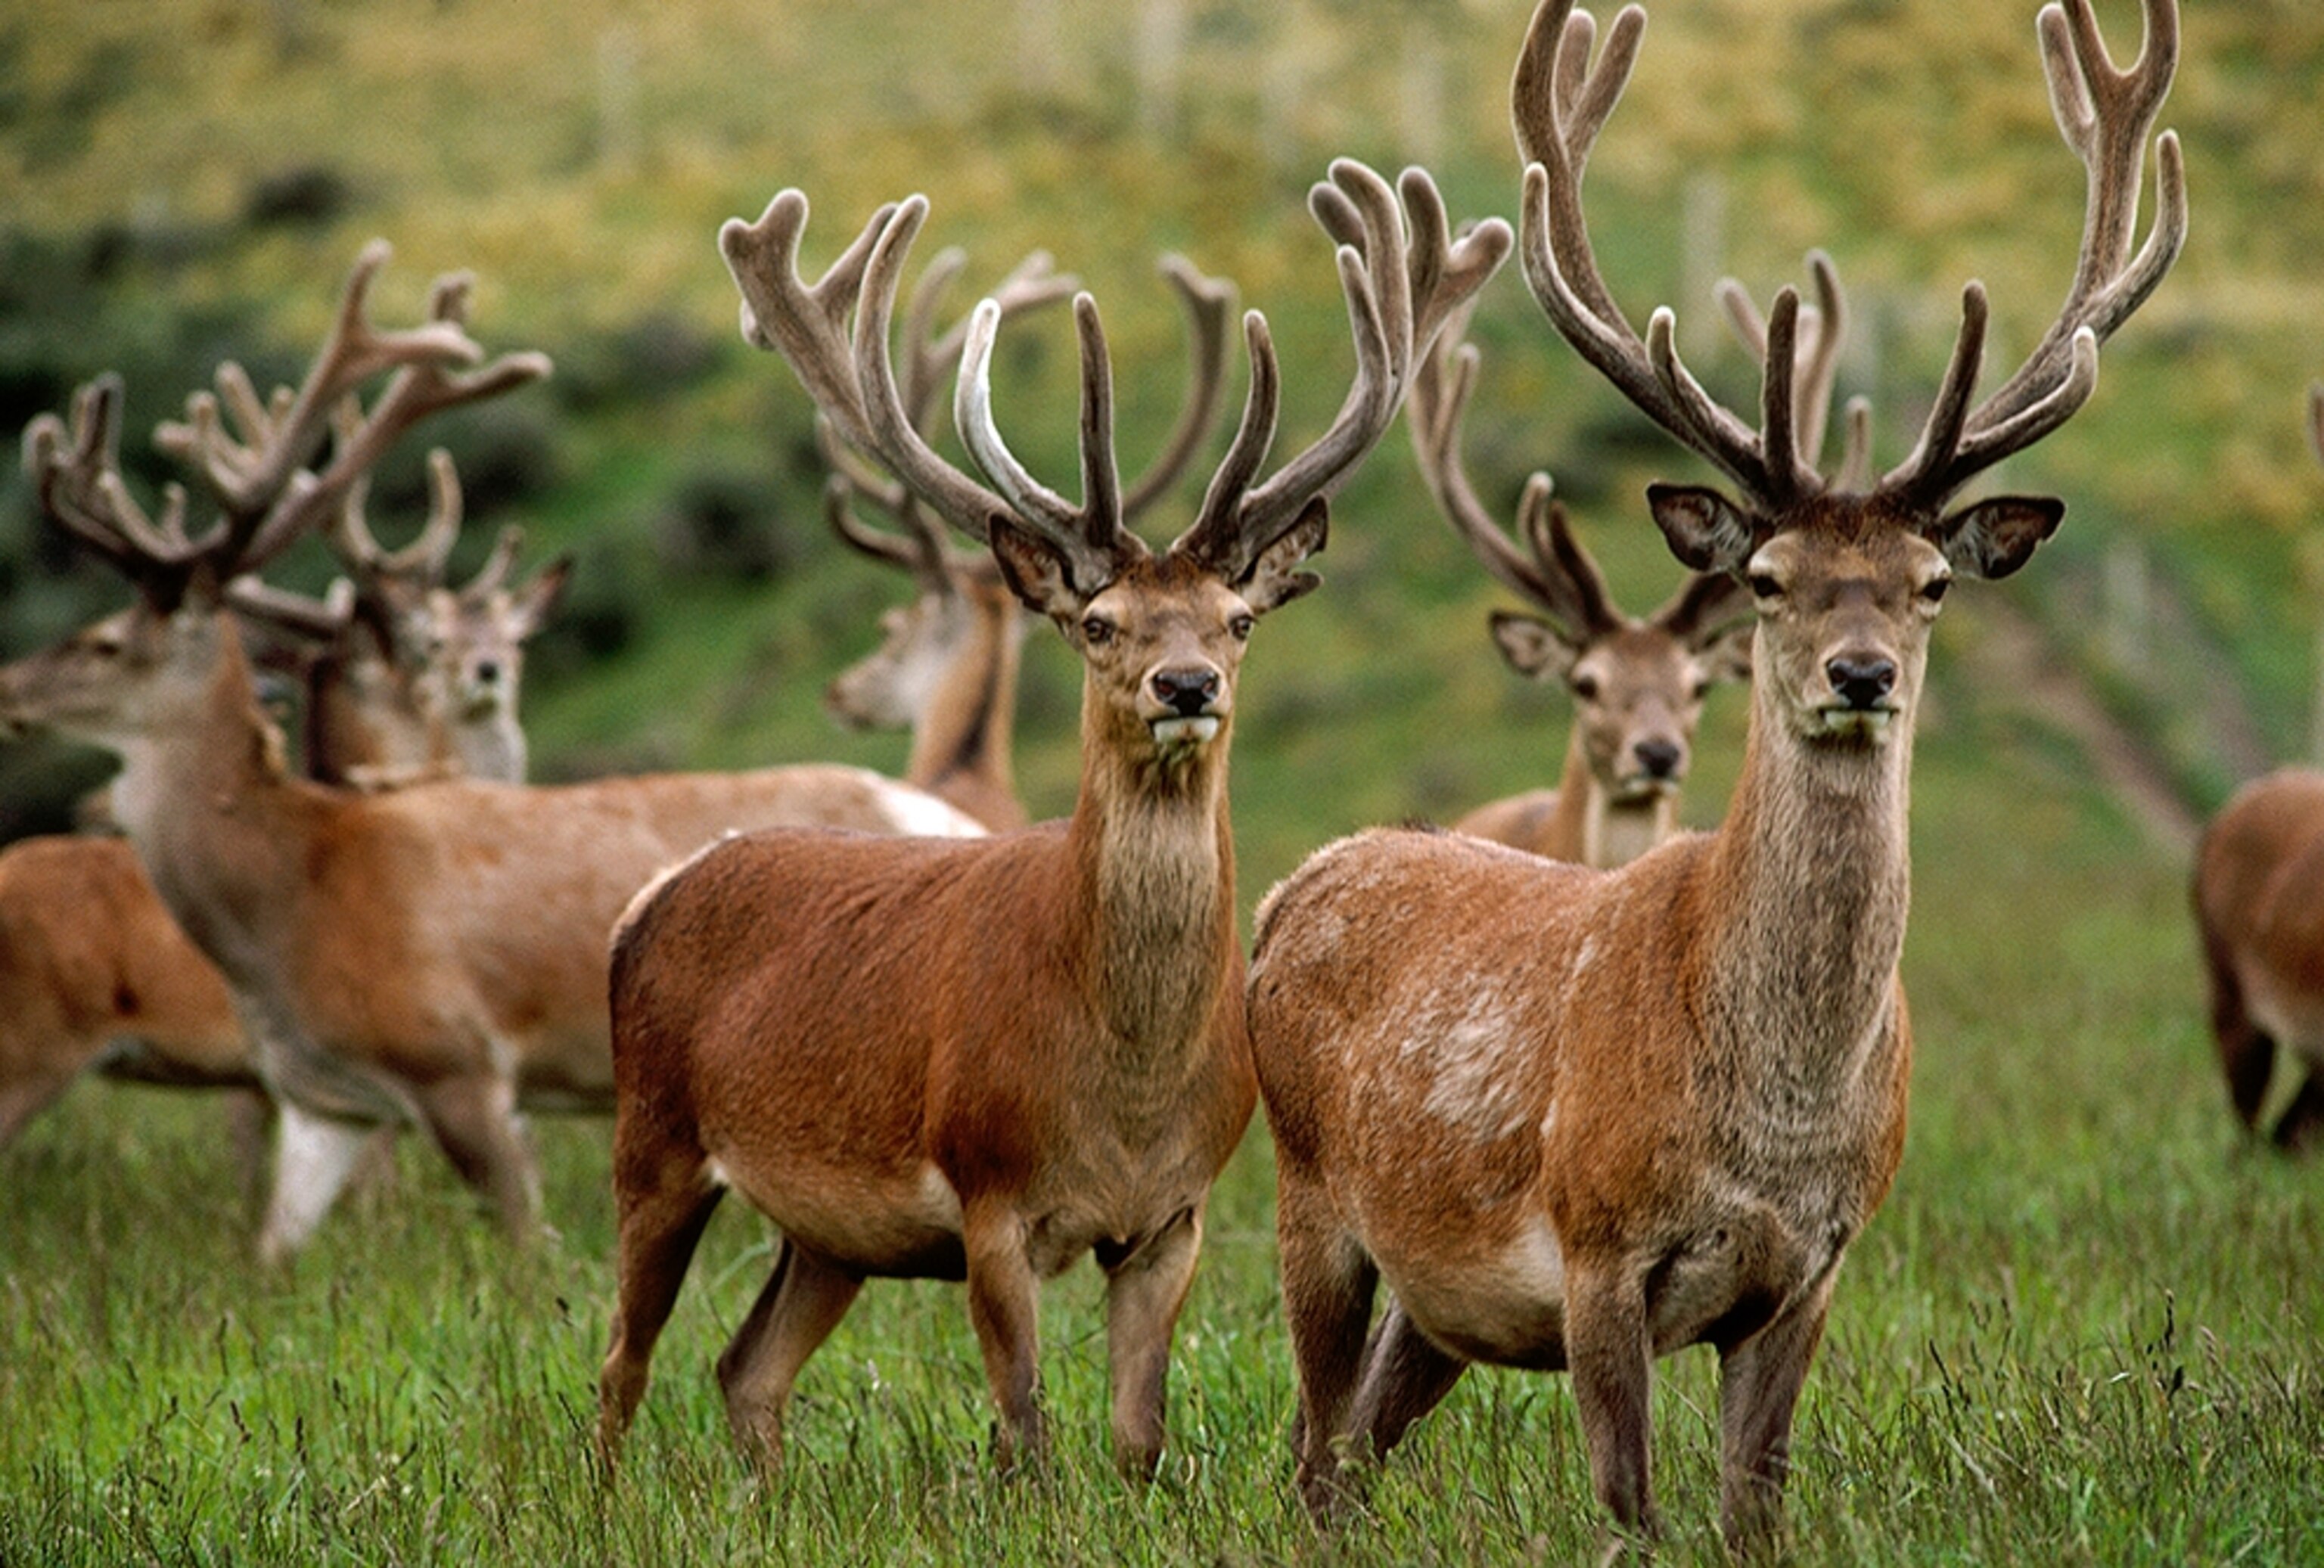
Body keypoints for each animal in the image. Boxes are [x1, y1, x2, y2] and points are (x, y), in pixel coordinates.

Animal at [0, 242, 988, 1263]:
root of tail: (953, 815)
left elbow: (524, 1248)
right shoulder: (324, 1105)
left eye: (107, 640)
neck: (290, 906)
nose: (11, 692)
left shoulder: (462, 1064)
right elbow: (270, 1256)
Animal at [1246, 0, 2183, 1553]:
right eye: (1766, 576)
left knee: (1356, 1448)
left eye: (1931, 583)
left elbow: (1755, 1505)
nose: (1858, 673)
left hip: (1437, 1303)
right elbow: (1628, 1504)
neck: (1773, 1113)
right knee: (1314, 1450)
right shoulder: (1596, 1244)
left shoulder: (1814, 1267)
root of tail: (1295, 880)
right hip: (1309, 1193)